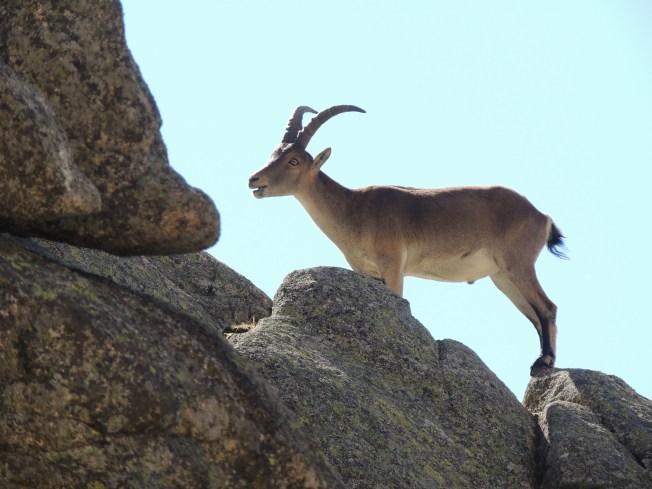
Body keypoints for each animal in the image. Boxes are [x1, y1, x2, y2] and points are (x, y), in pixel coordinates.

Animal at [248, 105, 566, 374]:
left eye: (294, 160)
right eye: (274, 153)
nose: (254, 180)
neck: (355, 210)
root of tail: (542, 216)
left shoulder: (393, 265)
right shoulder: (368, 273)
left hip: (517, 263)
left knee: (547, 307)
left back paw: (544, 363)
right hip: (501, 276)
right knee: (534, 314)